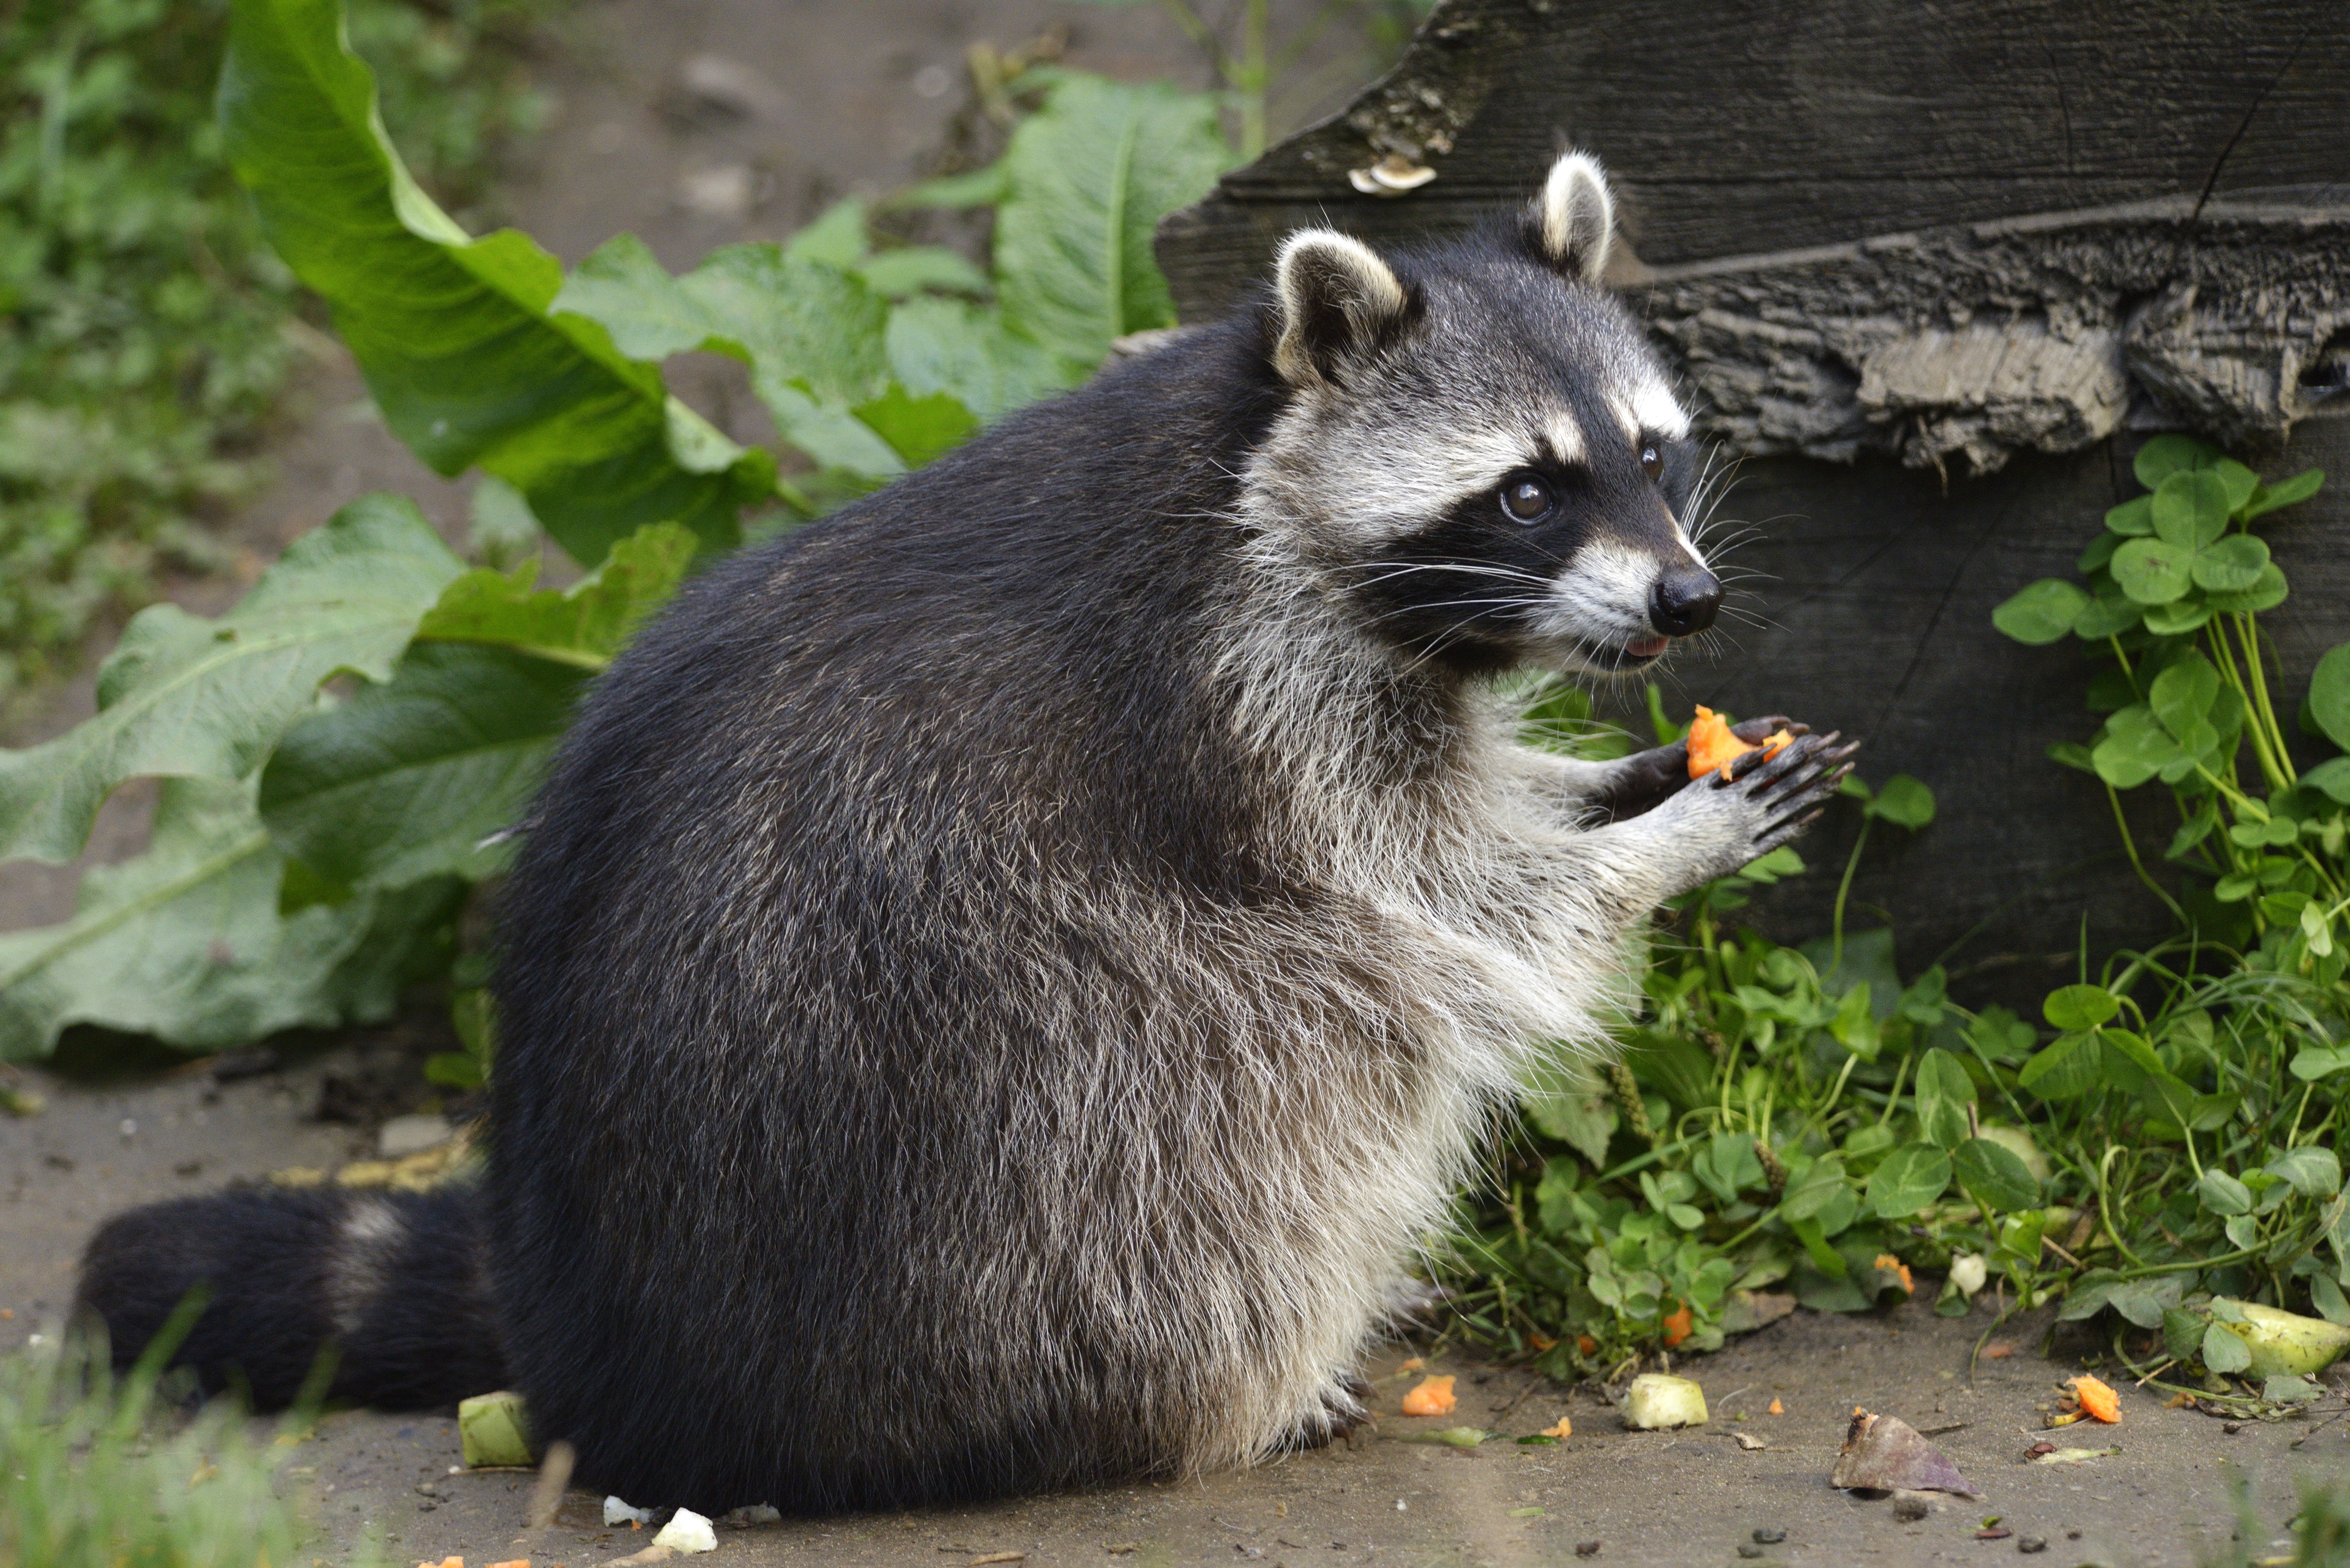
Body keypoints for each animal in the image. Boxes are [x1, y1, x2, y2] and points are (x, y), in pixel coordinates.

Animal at [78, 152, 1852, 1513]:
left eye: (1647, 449)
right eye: (1526, 491)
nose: (1686, 598)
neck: (1255, 453)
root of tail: (602, 1354)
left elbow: (1481, 810)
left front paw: (1614, 784)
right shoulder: (1248, 704)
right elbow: (1443, 894)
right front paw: (1650, 847)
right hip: (988, 1122)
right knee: (1264, 1055)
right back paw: (1243, 1376)